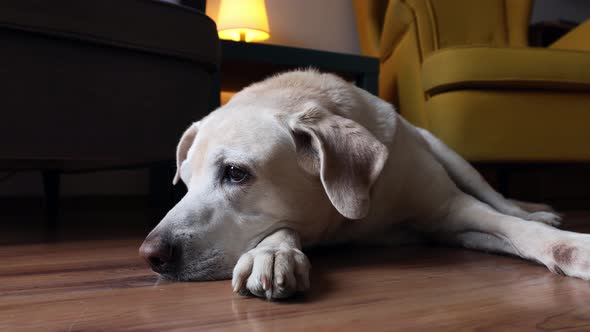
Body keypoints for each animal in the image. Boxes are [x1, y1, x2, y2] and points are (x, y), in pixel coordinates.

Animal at [139, 70, 588, 300]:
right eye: (185, 183)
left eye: (236, 173)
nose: (150, 255)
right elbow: (278, 231)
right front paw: (272, 253)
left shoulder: (450, 211)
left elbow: (516, 228)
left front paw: (574, 246)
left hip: (451, 156)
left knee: (500, 201)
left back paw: (539, 211)